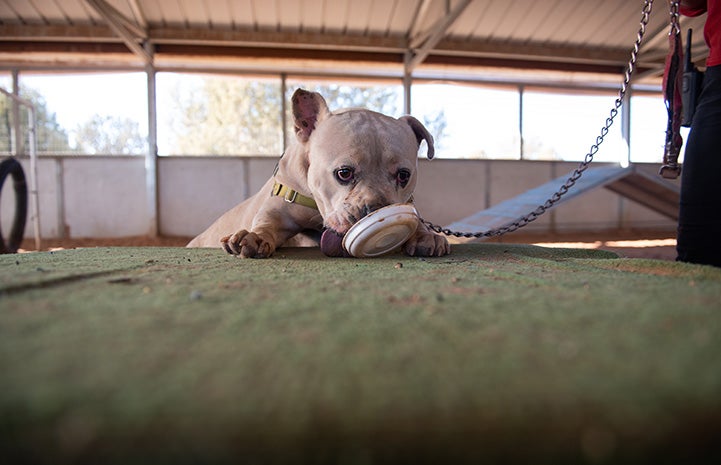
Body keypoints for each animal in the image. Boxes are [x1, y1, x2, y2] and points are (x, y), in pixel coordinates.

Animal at [188, 88, 452, 258]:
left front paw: (425, 235)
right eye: (344, 173)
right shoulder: (277, 212)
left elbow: (415, 219)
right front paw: (253, 236)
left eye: (404, 176)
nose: (377, 208)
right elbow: (265, 224)